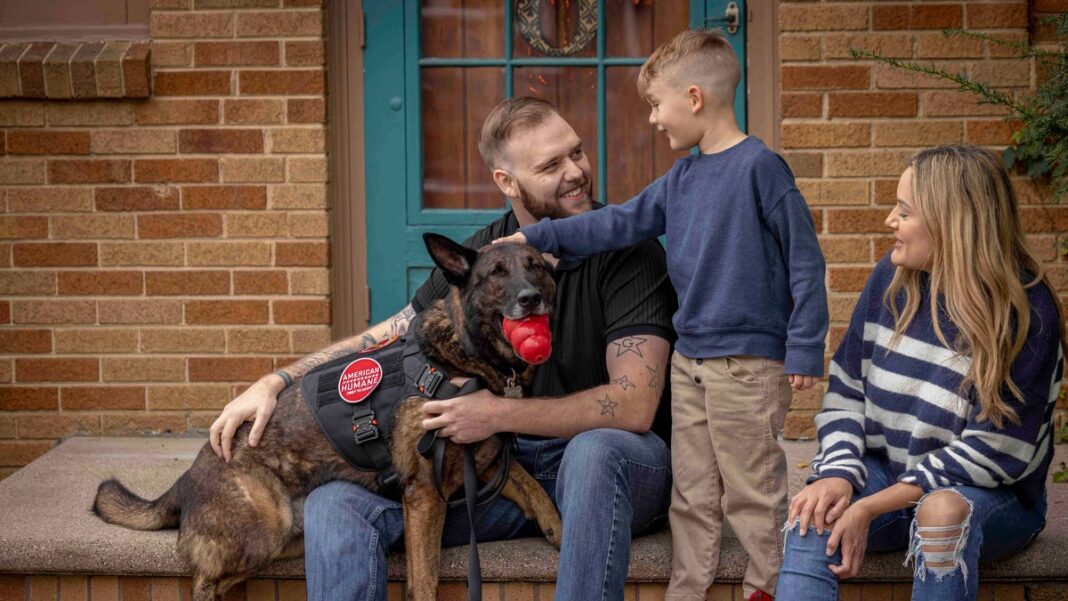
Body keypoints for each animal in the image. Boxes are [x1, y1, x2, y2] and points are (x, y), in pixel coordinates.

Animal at [92, 233, 563, 601]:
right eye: (496, 273)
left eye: (535, 267)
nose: (531, 299)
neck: (462, 356)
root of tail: (187, 477)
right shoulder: (425, 493)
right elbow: (425, 580)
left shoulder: (485, 463)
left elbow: (540, 494)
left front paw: (560, 538)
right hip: (262, 531)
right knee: (204, 579)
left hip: (287, 536)